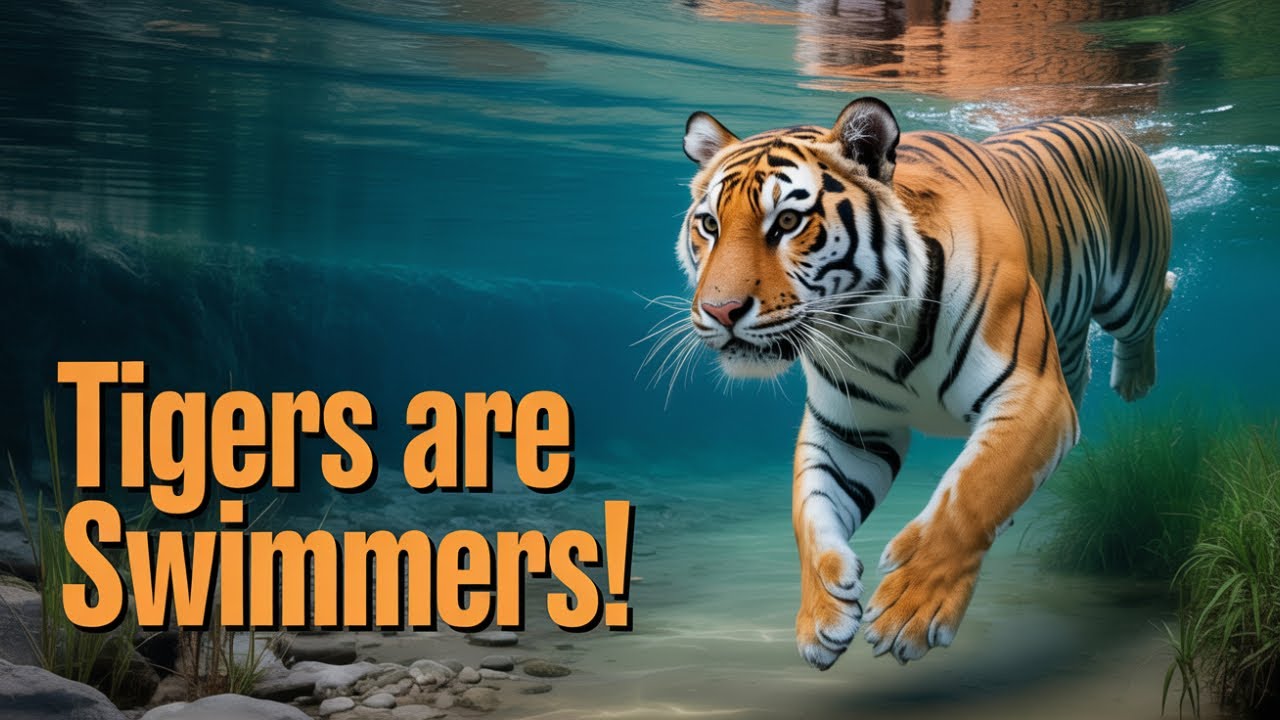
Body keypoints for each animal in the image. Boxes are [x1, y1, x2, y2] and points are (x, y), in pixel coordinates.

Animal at [674, 97, 1175, 669]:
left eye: (788, 222)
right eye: (709, 224)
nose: (720, 311)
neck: (868, 331)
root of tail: (1102, 122)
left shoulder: (1034, 397)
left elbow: (974, 490)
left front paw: (909, 609)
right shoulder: (850, 431)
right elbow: (810, 511)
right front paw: (822, 615)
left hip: (1128, 294)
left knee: (1155, 301)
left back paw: (1135, 378)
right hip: (1064, 337)